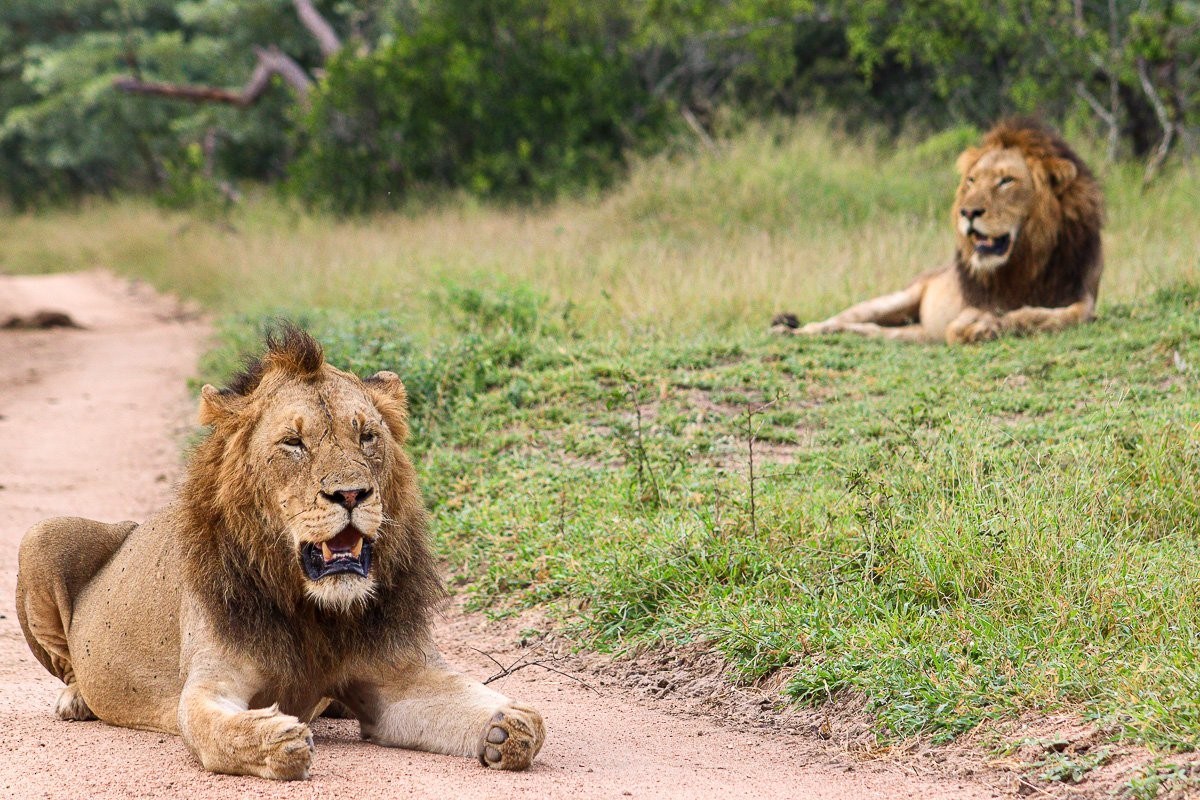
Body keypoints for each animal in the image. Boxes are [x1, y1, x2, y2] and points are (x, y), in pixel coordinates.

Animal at [15, 325, 545, 780]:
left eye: (367, 436)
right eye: (293, 443)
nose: (351, 494)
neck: (315, 609)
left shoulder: (400, 680)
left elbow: (511, 716)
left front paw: (508, 725)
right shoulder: (211, 681)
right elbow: (213, 728)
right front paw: (275, 741)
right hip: (40, 534)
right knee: (68, 665)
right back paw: (76, 700)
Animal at [772, 118, 1104, 344]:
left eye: (1006, 181)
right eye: (972, 180)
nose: (967, 212)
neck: (1028, 259)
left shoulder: (1083, 293)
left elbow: (1064, 315)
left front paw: (1006, 321)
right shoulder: (976, 301)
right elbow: (973, 319)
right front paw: (979, 326)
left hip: (910, 334)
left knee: (869, 330)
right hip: (893, 300)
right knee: (838, 319)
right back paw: (790, 329)